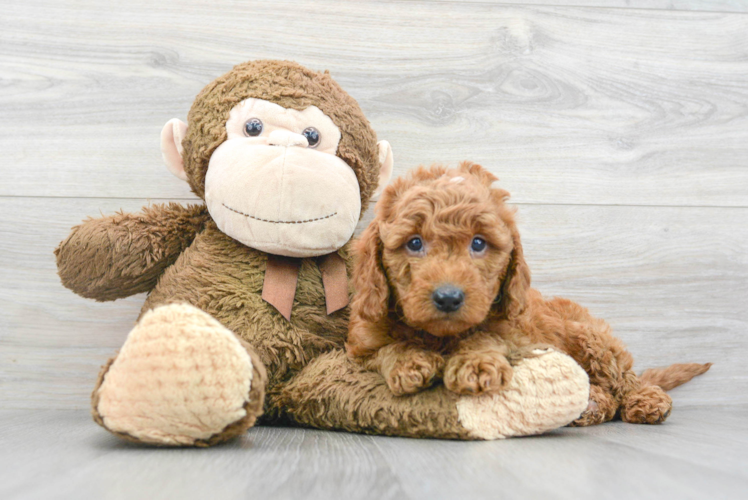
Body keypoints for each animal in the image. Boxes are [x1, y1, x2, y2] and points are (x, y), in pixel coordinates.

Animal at [348, 163, 712, 426]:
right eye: (414, 243)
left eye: (478, 243)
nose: (448, 297)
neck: (440, 336)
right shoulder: (360, 347)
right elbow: (387, 349)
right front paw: (408, 362)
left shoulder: (517, 334)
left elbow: (485, 336)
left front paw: (477, 363)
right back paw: (592, 404)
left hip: (593, 339)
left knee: (624, 381)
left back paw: (646, 400)